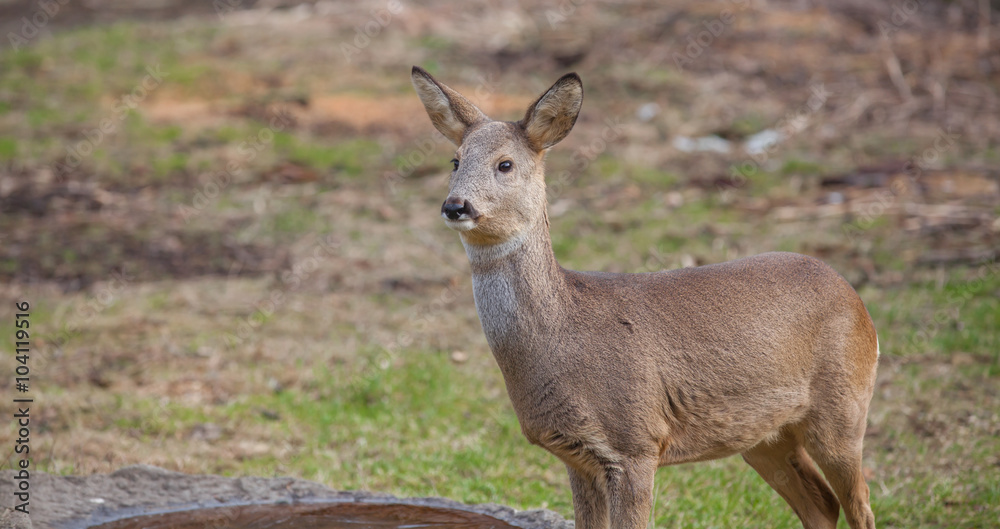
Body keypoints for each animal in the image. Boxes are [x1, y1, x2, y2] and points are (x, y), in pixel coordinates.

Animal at [410, 65, 880, 528]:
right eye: (455, 160)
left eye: (505, 164)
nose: (456, 205)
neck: (563, 333)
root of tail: (856, 300)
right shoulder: (577, 456)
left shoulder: (635, 441)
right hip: (764, 435)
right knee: (821, 504)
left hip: (843, 407)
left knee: (858, 503)